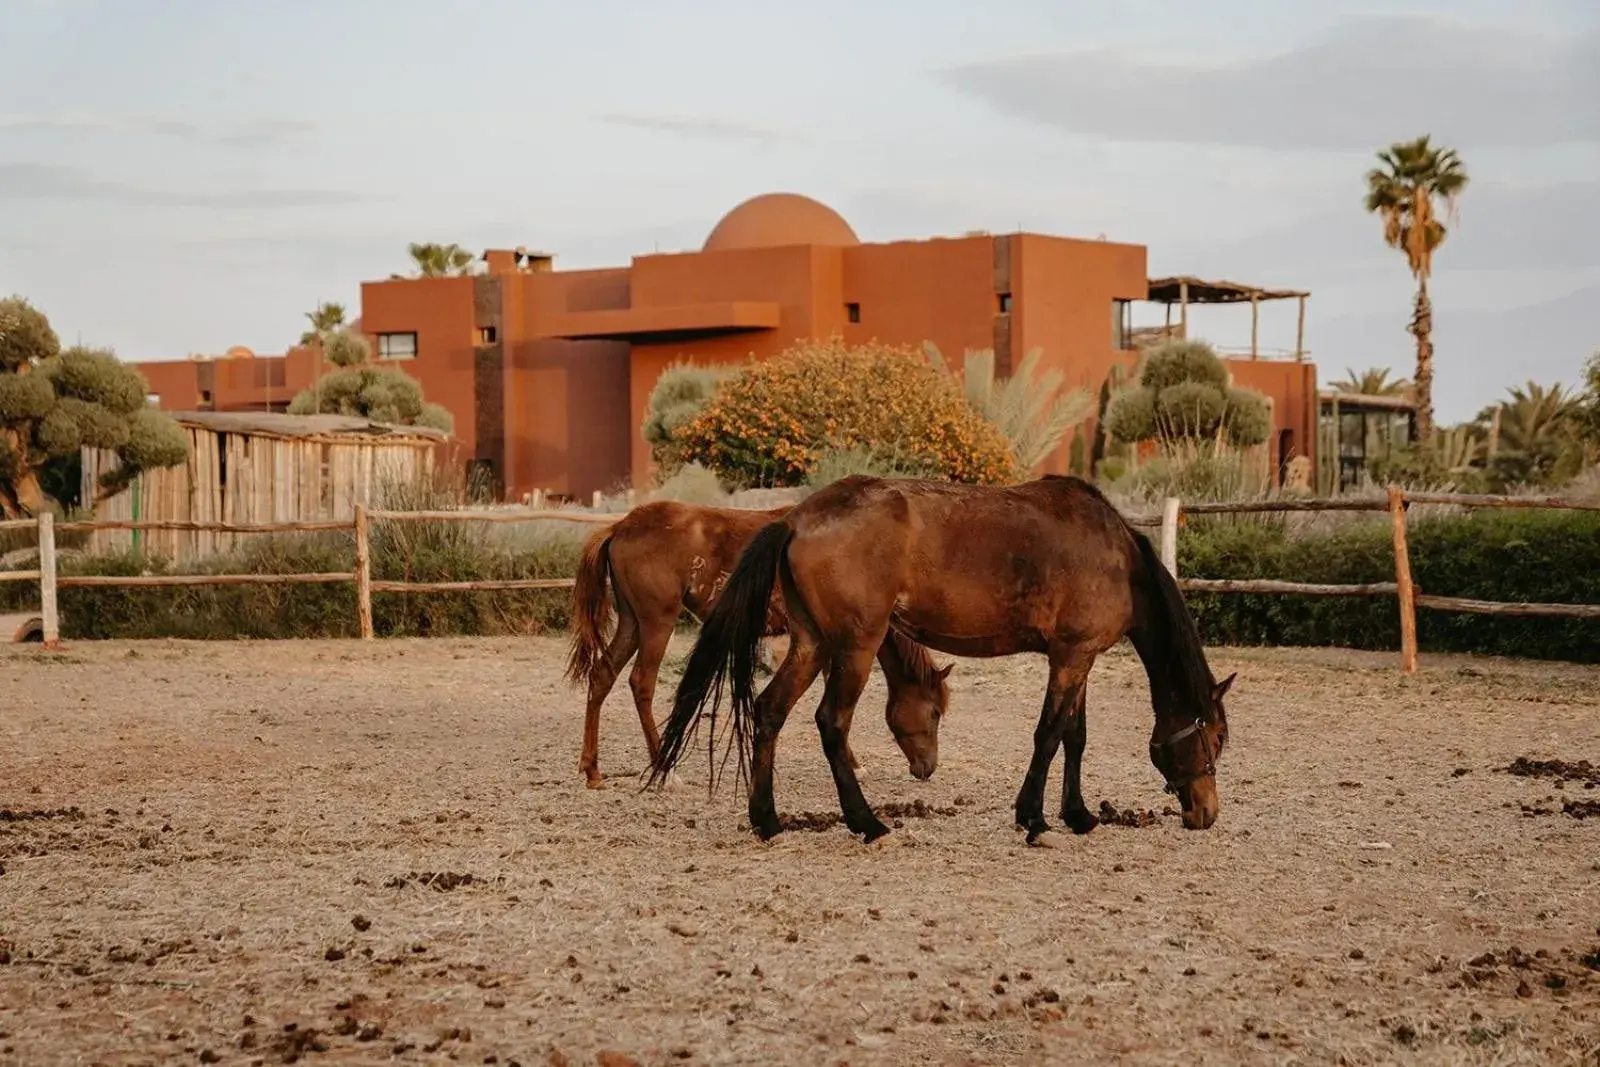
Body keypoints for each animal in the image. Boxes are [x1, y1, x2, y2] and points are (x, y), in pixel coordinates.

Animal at [566, 499, 947, 783]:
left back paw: (592, 769)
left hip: (631, 623)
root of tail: (620, 526)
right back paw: (665, 767)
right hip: (656, 621)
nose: (927, 768)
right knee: (641, 683)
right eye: (936, 711)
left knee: (602, 676)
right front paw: (853, 764)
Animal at [649, 476, 1235, 844]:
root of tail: (795, 519)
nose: (1206, 813)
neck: (1117, 559)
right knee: (831, 723)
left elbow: (1074, 736)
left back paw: (767, 821)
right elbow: (1049, 735)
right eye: (1217, 738)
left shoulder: (1080, 657)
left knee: (769, 711)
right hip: (855, 648)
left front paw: (1079, 815)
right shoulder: (1071, 656)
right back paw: (867, 824)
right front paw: (1034, 818)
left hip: (811, 644)